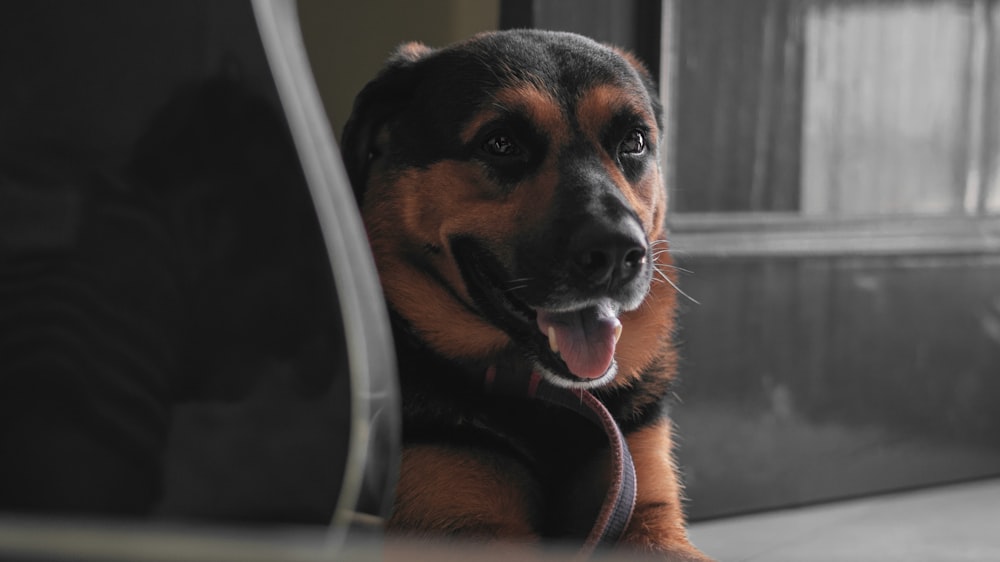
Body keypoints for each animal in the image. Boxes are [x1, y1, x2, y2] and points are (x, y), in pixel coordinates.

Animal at [344, 30, 712, 560]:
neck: (545, 397)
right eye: (501, 143)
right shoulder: (464, 523)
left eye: (634, 142)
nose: (617, 253)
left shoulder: (647, 512)